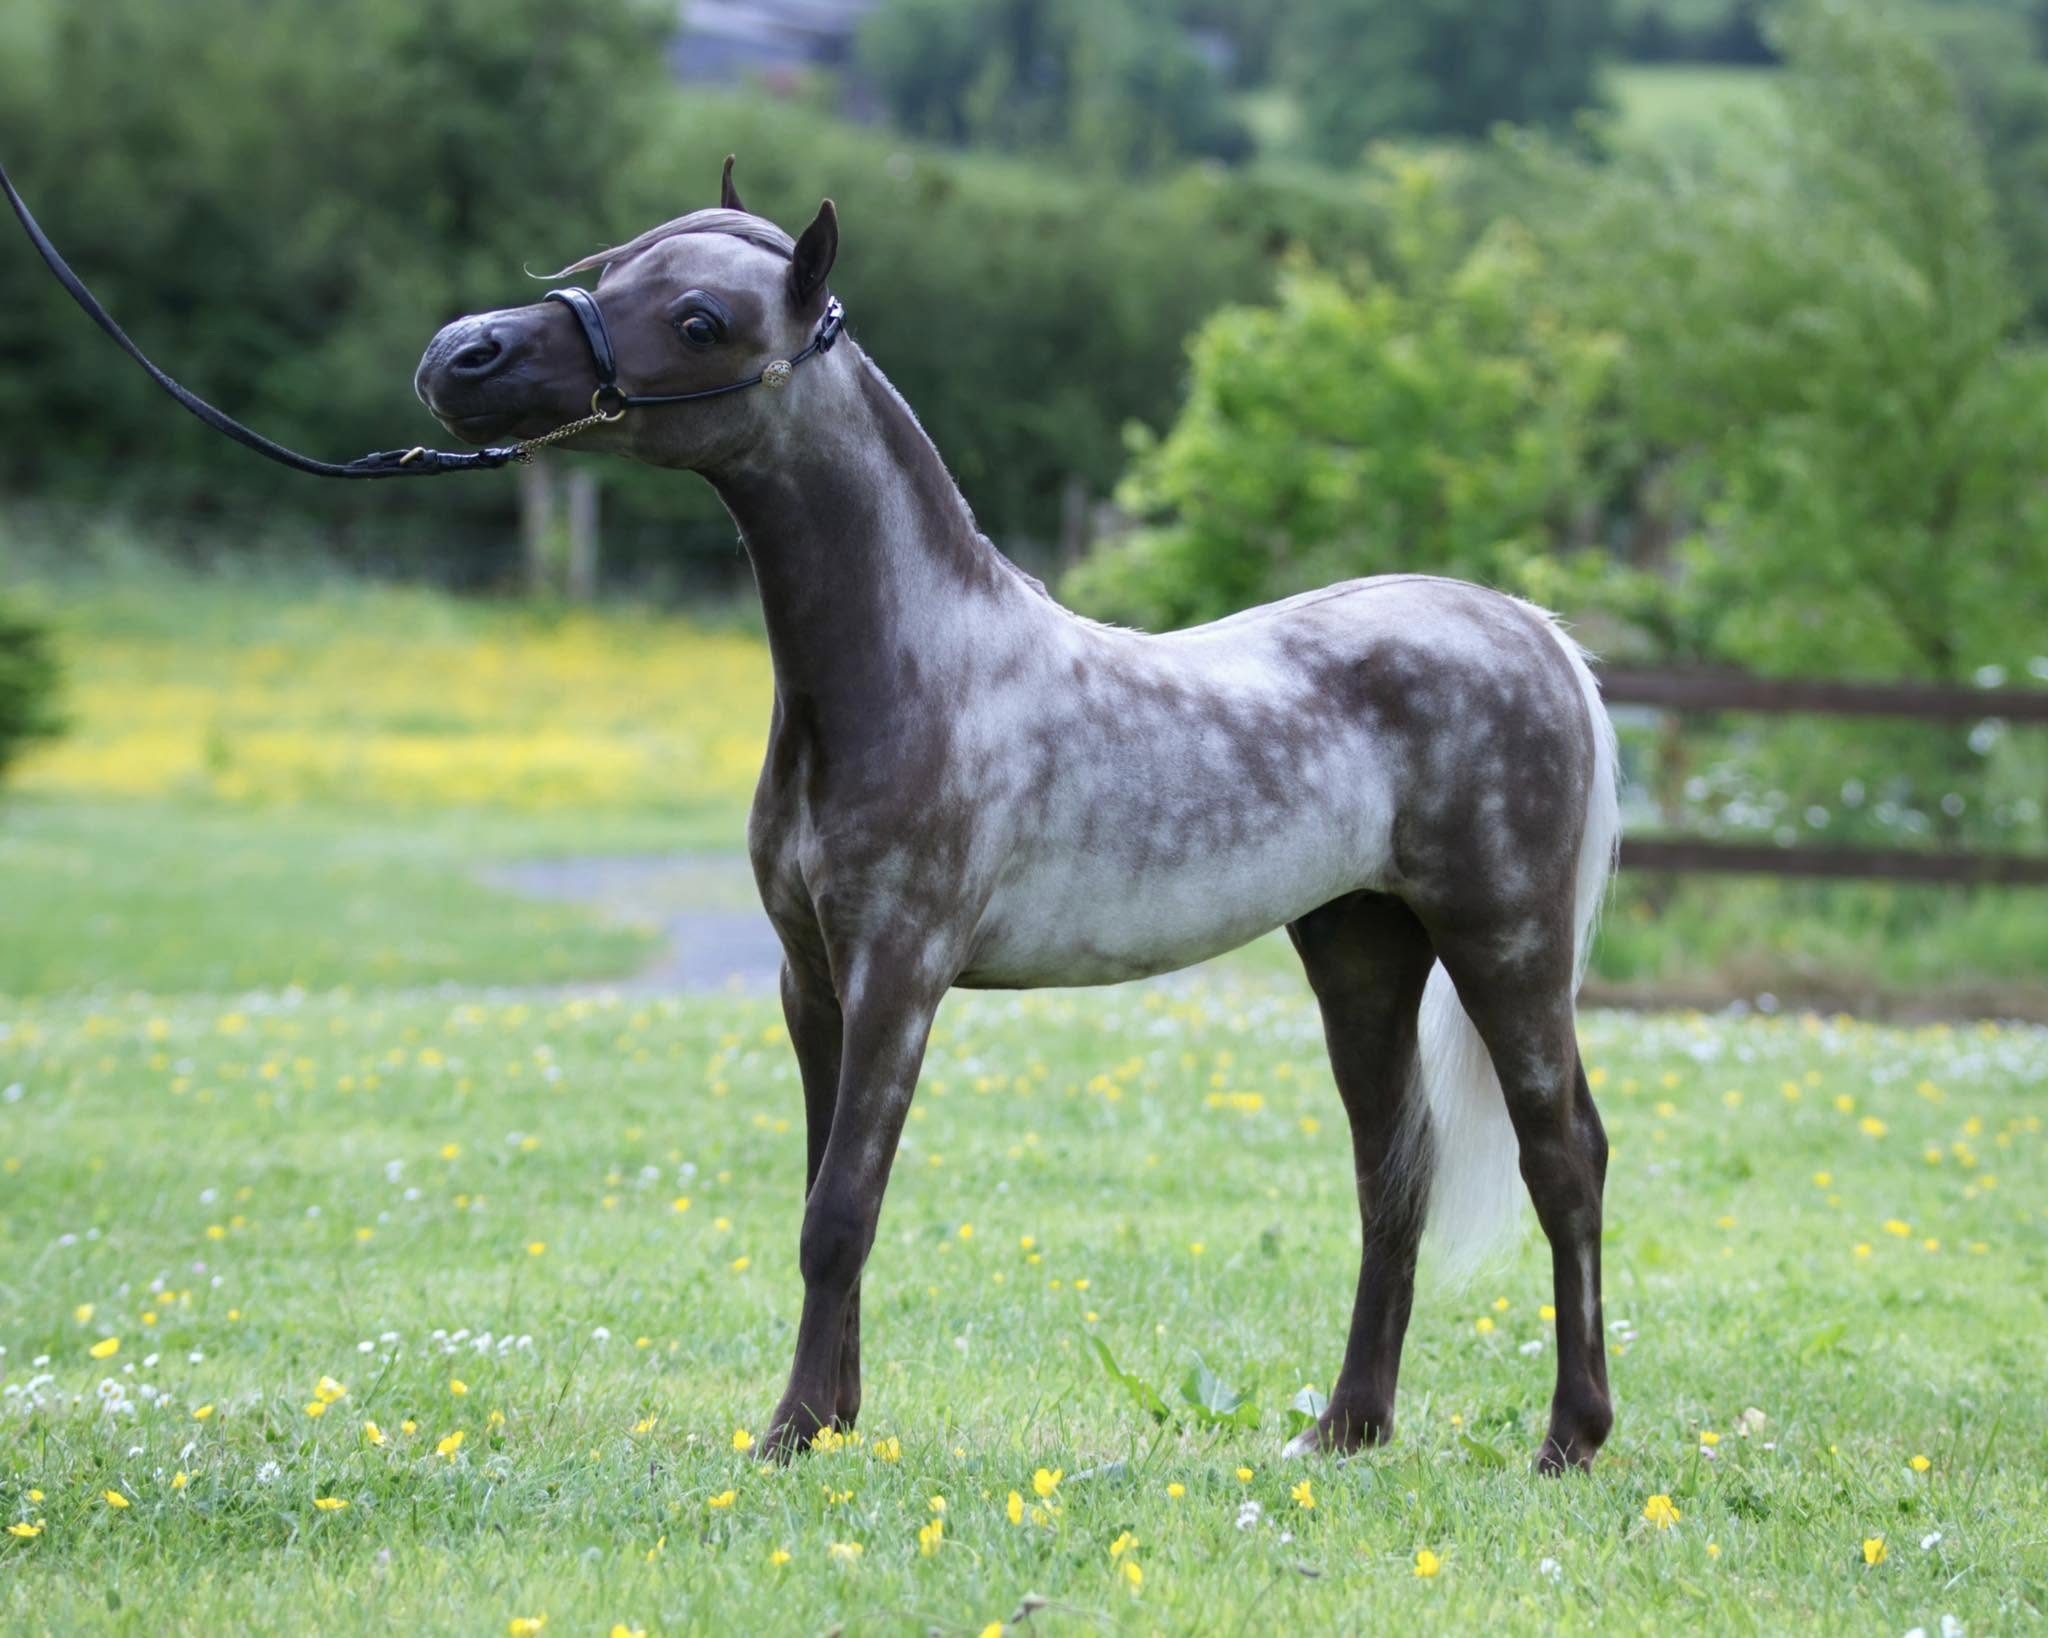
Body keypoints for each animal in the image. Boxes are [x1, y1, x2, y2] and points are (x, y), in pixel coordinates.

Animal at [413, 162, 1623, 1474]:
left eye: (698, 320)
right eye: (611, 265)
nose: (459, 354)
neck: (912, 672)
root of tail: (1529, 630)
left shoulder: (900, 971)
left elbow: (840, 1210)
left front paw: (791, 1433)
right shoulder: (810, 981)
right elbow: (824, 1195)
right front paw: (833, 1419)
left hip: (1502, 942)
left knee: (1563, 1155)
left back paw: (1569, 1439)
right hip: (1359, 948)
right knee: (1390, 1176)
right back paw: (1342, 1431)